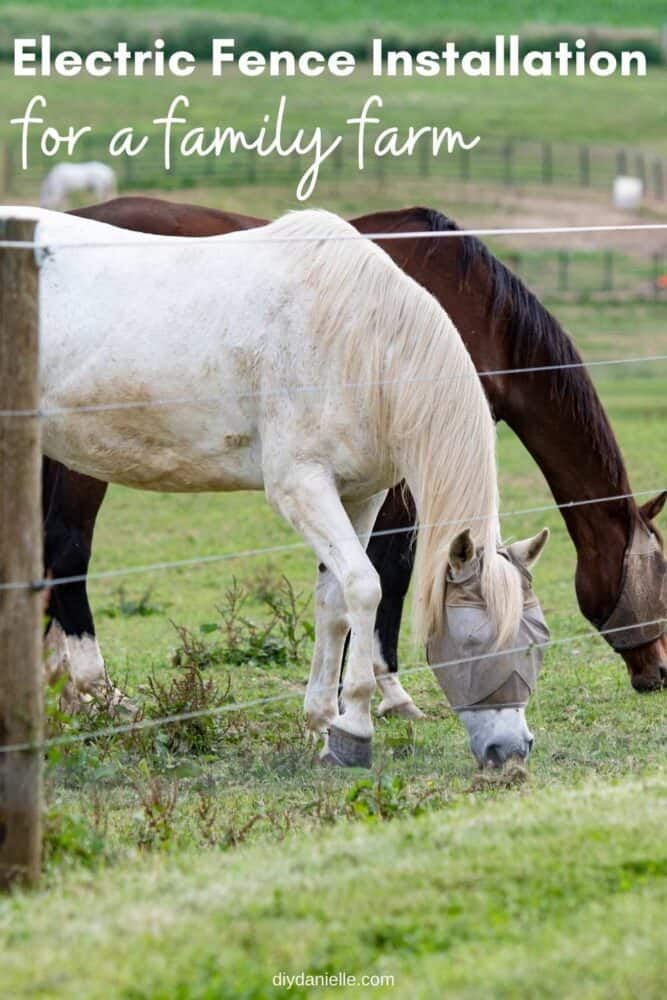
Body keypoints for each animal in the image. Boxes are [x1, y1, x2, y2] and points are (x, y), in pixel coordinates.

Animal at [1, 203, 532, 764]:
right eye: (474, 642)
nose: (512, 749)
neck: (358, 340)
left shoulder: (360, 494)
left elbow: (335, 601)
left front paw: (322, 724)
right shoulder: (301, 487)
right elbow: (366, 587)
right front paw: (356, 728)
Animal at [44, 197, 664, 712]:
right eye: (659, 573)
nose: (657, 672)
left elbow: (344, 588)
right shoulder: (399, 483)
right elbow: (391, 572)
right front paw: (387, 692)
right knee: (68, 550)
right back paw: (100, 693)